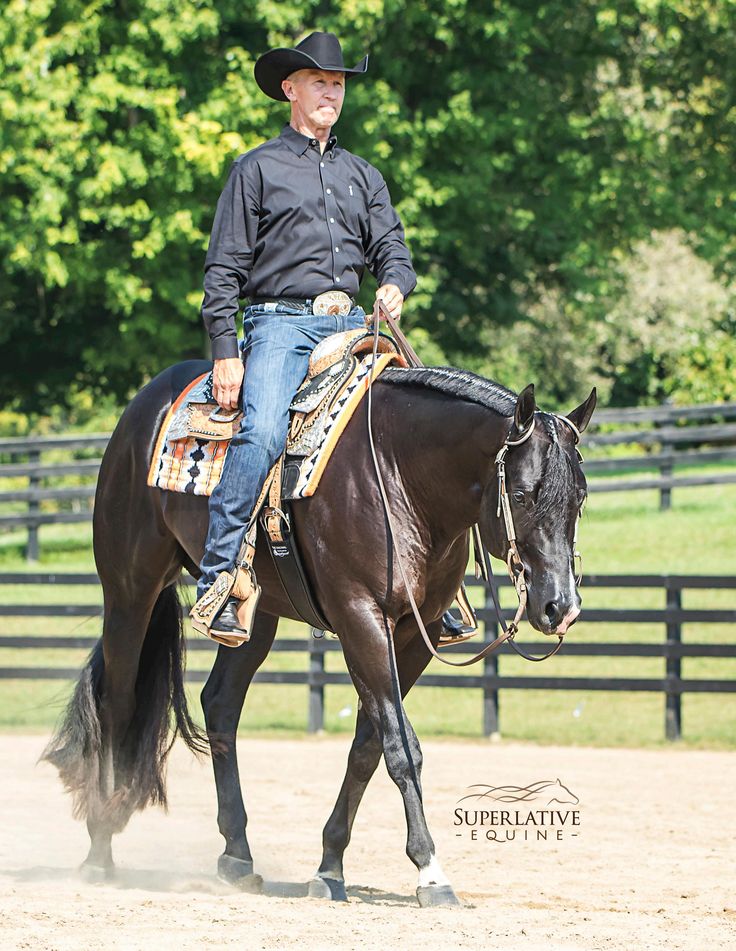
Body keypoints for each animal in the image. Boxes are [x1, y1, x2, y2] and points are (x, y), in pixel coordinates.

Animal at [43, 362, 596, 908]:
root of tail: (147, 403)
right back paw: (100, 848)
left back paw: (237, 856)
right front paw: (430, 872)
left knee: (220, 703)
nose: (559, 606)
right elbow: (402, 747)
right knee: (118, 701)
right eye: (521, 495)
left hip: (255, 613)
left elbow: (370, 746)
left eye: (581, 498)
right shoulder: (361, 619)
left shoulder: (416, 634)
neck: (399, 475)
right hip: (130, 589)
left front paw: (330, 867)